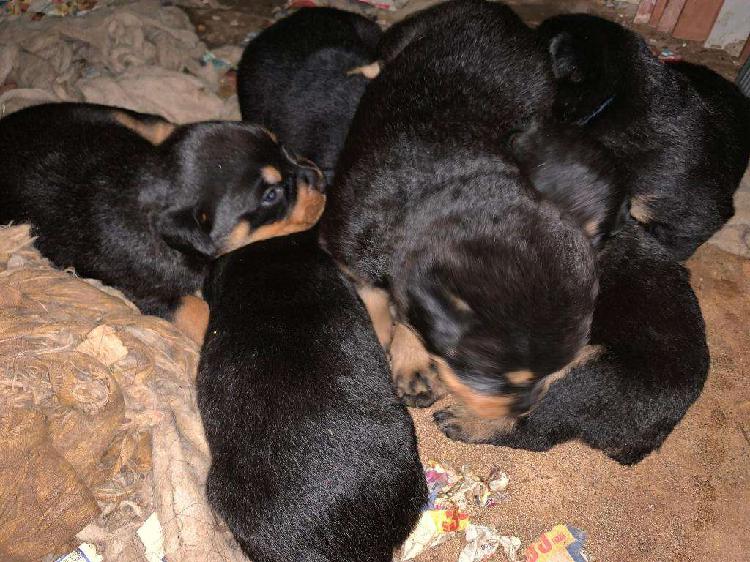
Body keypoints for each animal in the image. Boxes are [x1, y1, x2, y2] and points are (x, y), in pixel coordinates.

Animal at [320, 0, 604, 420]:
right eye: (499, 378)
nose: (523, 411)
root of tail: (502, 12)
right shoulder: (347, 247)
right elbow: (377, 301)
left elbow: (408, 314)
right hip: (415, 28)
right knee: (384, 54)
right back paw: (365, 70)